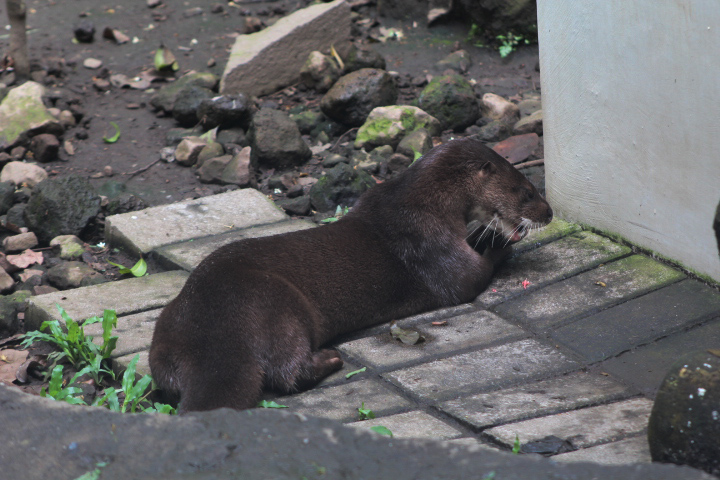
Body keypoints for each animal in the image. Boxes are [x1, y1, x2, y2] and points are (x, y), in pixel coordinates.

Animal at [149, 137, 553, 413]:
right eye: (527, 191)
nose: (548, 213)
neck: (427, 204)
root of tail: (215, 332)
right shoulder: (431, 246)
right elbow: (470, 278)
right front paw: (500, 242)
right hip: (280, 309)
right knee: (286, 372)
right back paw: (331, 358)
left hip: (166, 335)